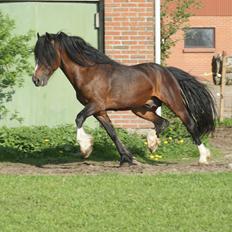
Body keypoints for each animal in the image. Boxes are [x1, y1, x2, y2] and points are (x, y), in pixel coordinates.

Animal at [31, 32, 217, 165]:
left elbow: (78, 118)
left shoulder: (95, 105)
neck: (88, 74)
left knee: (190, 124)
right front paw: (127, 158)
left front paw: (85, 148)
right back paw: (152, 144)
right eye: (36, 55)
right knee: (162, 122)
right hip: (140, 109)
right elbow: (112, 132)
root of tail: (166, 71)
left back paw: (203, 157)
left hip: (174, 102)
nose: (36, 80)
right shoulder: (99, 111)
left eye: (48, 55)